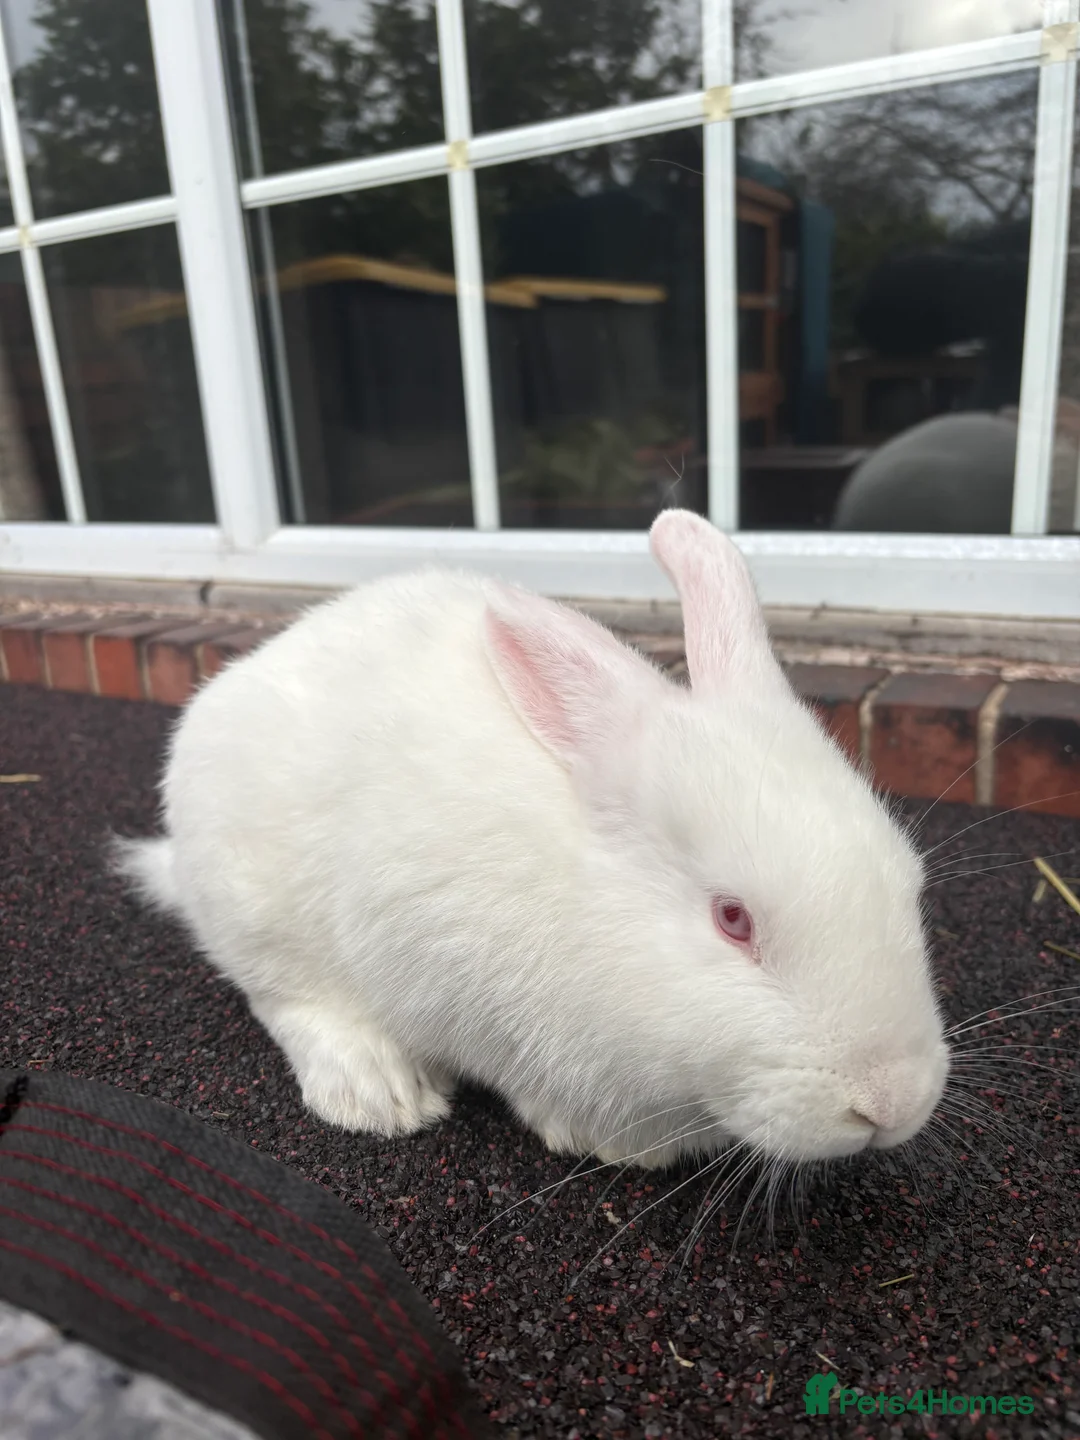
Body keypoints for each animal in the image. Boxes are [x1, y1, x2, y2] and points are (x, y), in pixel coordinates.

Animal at [116, 509, 949, 1170]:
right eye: (732, 918)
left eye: (907, 882)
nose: (893, 1103)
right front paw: (603, 1141)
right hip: (255, 903)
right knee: (286, 997)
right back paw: (380, 1092)